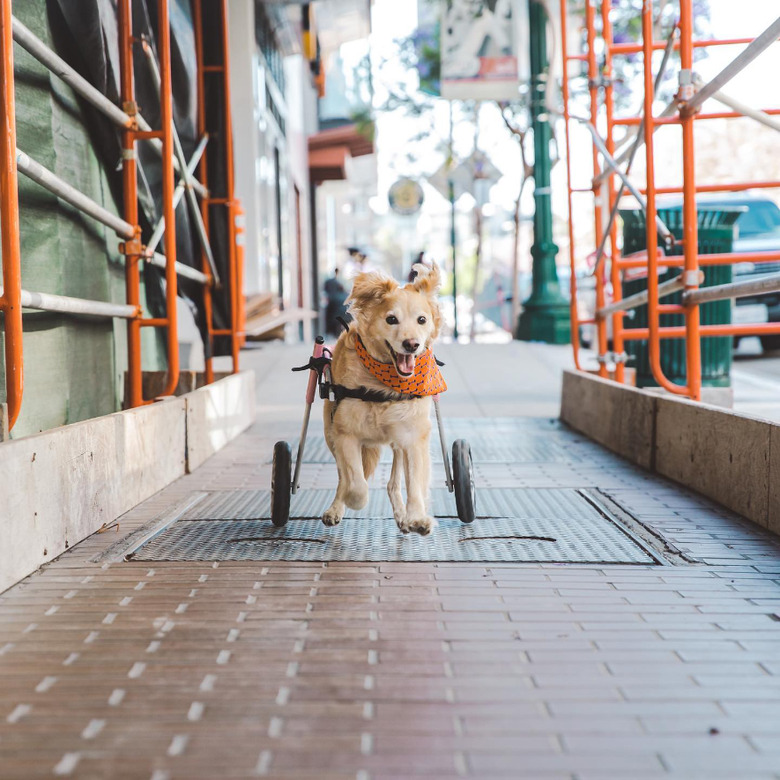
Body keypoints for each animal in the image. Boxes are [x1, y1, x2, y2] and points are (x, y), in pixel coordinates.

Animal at [322, 262, 444, 536]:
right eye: (391, 319)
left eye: (422, 320)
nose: (411, 344)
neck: (383, 386)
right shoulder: (345, 434)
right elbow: (355, 481)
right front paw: (354, 500)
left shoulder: (413, 436)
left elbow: (415, 482)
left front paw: (417, 517)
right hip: (330, 431)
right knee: (343, 477)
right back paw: (336, 508)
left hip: (397, 440)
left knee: (393, 482)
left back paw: (403, 516)